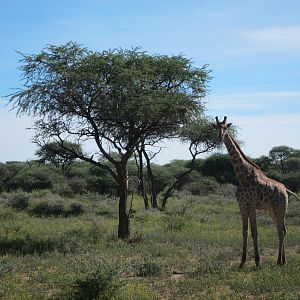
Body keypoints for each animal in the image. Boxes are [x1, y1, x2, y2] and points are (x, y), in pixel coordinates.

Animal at [216, 115, 300, 268]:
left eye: (225, 127)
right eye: (216, 127)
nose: (220, 136)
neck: (242, 175)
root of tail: (285, 190)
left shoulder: (252, 204)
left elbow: (255, 232)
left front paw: (257, 261)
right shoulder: (242, 205)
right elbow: (245, 231)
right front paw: (242, 261)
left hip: (281, 208)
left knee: (281, 231)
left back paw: (279, 261)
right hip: (273, 210)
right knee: (281, 230)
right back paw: (282, 260)